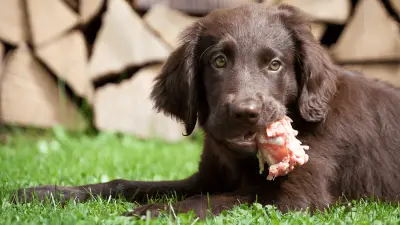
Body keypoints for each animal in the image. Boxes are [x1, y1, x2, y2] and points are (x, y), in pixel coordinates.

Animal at [11, 2, 400, 220]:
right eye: (219, 61)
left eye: (275, 64)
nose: (245, 112)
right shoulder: (205, 177)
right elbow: (131, 184)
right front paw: (45, 193)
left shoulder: (299, 198)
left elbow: (210, 199)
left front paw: (149, 213)